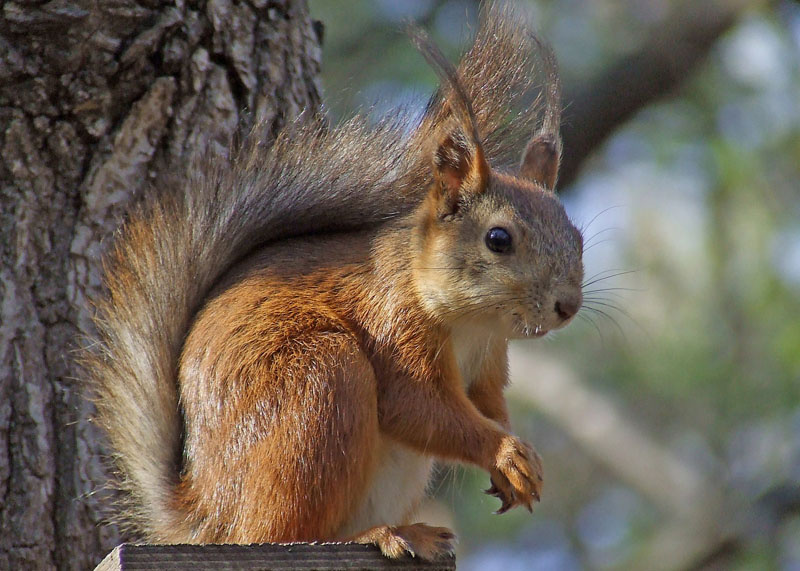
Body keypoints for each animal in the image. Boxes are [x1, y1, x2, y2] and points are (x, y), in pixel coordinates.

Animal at [84, 2, 584, 562]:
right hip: (320, 385)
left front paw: (517, 464)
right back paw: (379, 534)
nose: (568, 306)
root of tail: (208, 515)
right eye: (498, 239)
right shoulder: (392, 322)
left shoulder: (490, 361)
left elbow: (489, 404)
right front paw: (504, 452)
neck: (472, 322)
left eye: (577, 236)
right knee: (283, 532)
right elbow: (419, 407)